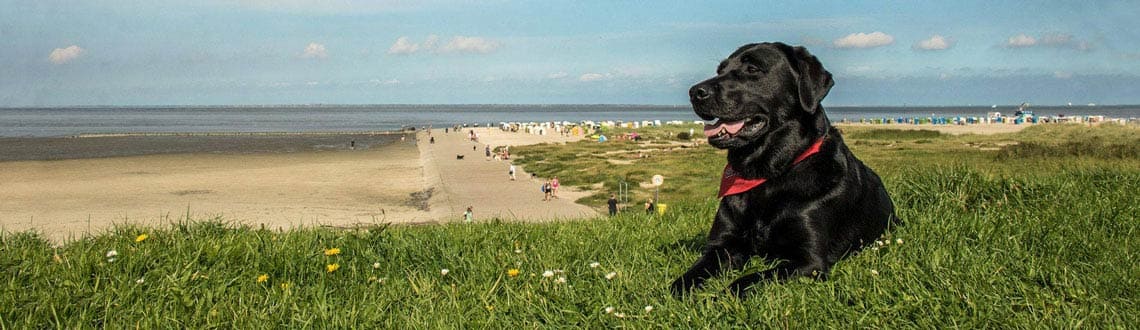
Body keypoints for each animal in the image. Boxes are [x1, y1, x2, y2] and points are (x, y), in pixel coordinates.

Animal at [665, 42, 898, 296]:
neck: (766, 174)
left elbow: (748, 279)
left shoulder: (809, 261)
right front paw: (676, 293)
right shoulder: (722, 245)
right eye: (720, 70)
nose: (694, 92)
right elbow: (689, 275)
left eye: (752, 68)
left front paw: (720, 297)